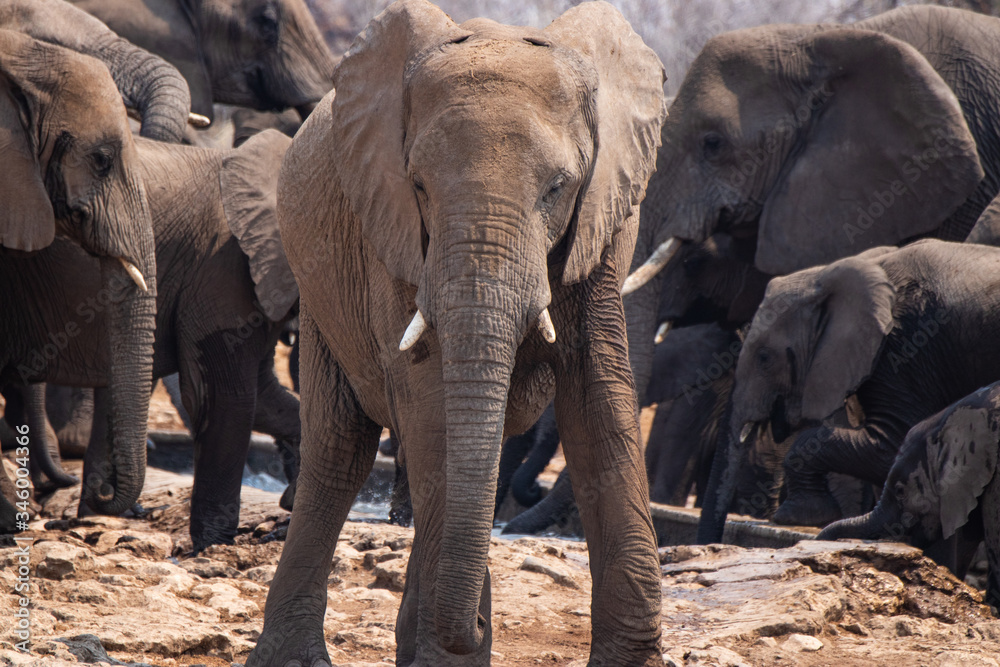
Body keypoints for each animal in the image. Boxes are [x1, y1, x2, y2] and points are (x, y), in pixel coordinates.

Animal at [249, 2, 668, 665]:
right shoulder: (390, 228)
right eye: (419, 186)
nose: (474, 621)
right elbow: (430, 402)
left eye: (558, 188)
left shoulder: (604, 225)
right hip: (319, 290)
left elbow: (600, 397)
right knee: (340, 451)